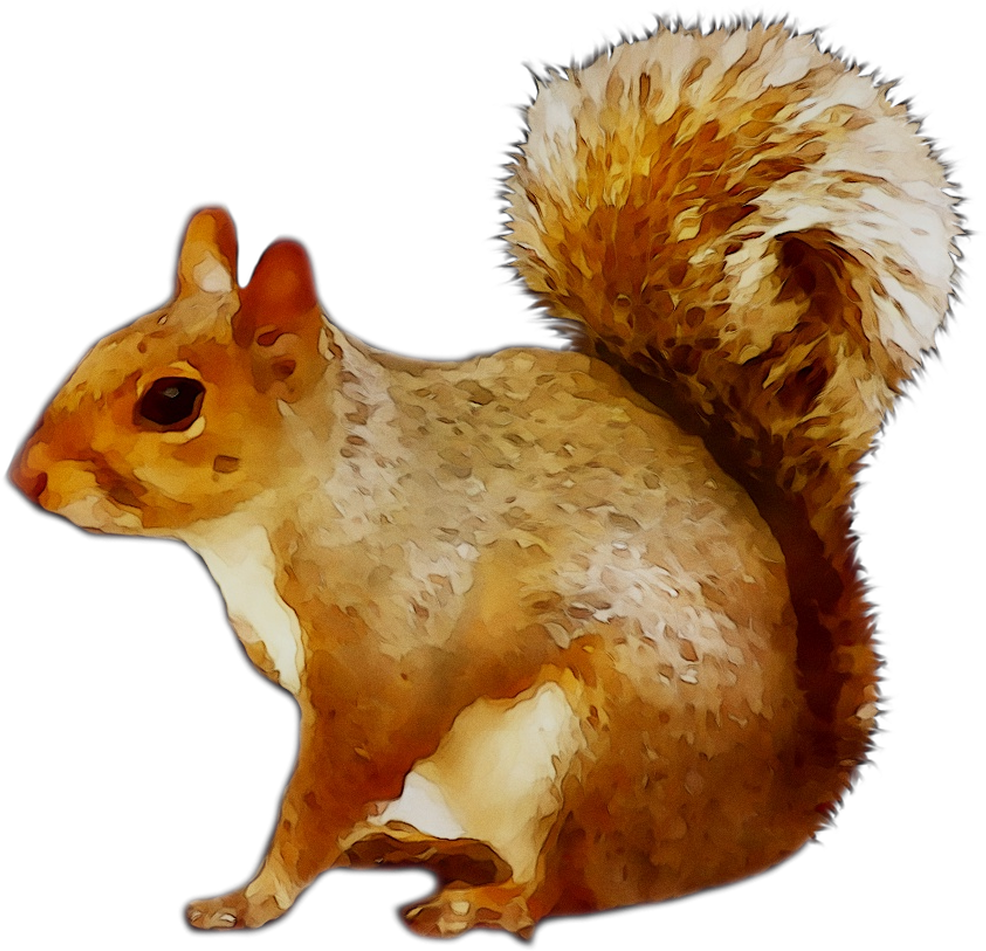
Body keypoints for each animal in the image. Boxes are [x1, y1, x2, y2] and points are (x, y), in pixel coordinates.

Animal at [9, 22, 955, 939]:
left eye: (172, 401)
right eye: (98, 346)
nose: (26, 476)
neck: (282, 513)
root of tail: (767, 814)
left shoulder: (390, 647)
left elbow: (331, 785)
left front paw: (252, 899)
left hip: (602, 758)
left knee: (571, 887)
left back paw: (480, 903)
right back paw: (406, 846)